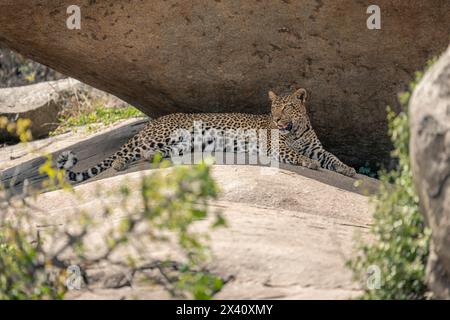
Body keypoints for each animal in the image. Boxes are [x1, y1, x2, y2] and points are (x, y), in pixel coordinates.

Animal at [57, 87, 356, 182]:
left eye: (289, 107)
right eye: (275, 108)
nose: (278, 119)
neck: (298, 128)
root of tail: (155, 121)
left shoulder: (316, 147)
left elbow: (331, 158)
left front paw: (348, 169)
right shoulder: (275, 146)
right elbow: (295, 154)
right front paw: (308, 163)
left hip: (176, 145)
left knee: (146, 154)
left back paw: (150, 159)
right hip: (160, 136)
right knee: (125, 152)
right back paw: (120, 164)